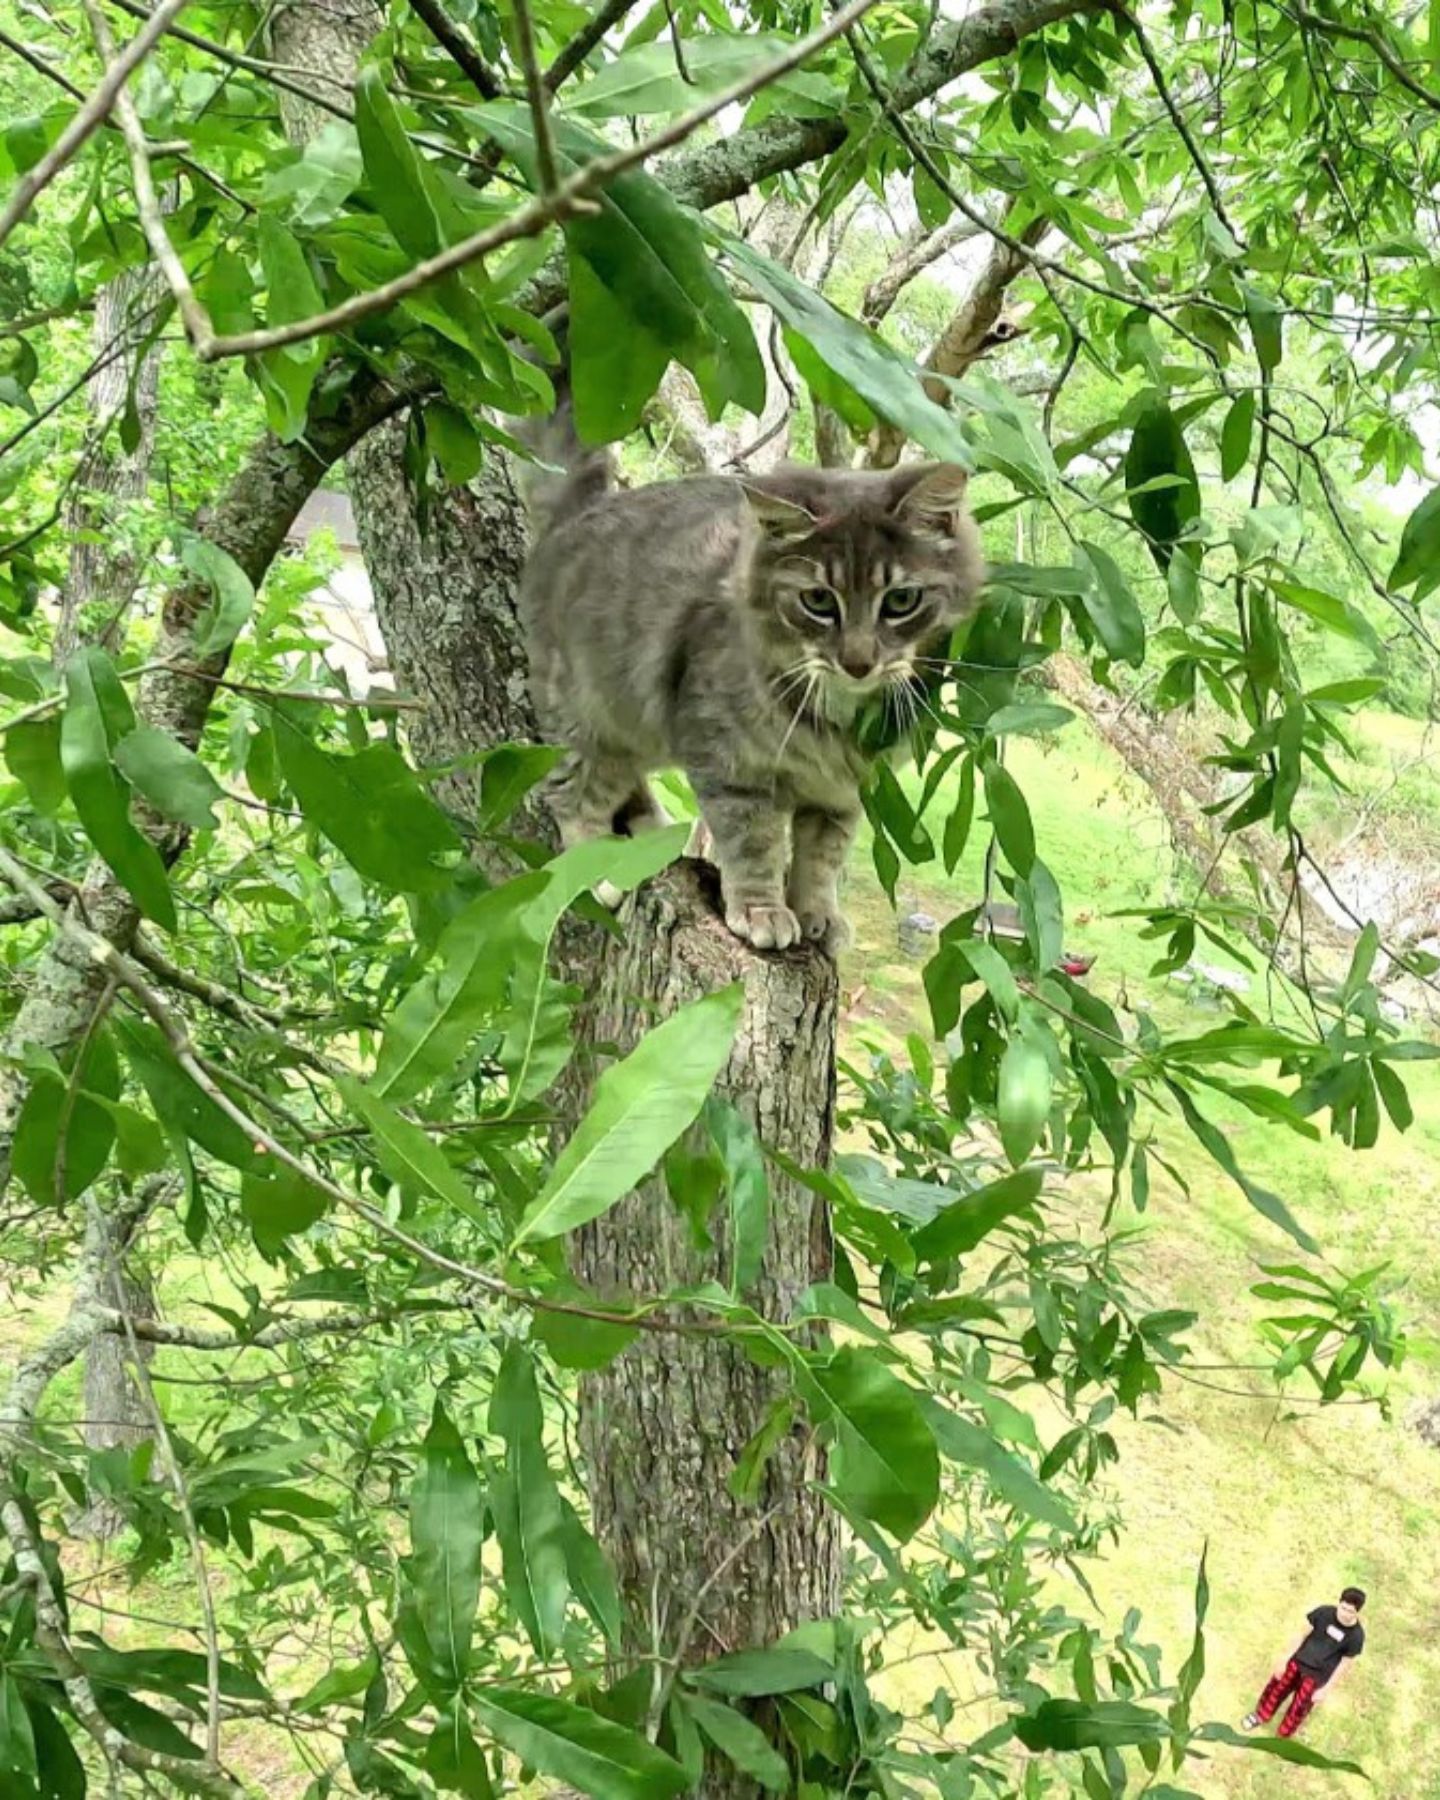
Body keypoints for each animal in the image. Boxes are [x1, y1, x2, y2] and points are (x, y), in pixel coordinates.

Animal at [522, 410, 986, 957]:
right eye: (817, 601)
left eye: (900, 601)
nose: (857, 663)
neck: (838, 714)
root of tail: (579, 510)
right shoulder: (731, 765)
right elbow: (754, 845)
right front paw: (762, 911)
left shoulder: (841, 792)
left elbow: (821, 858)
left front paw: (819, 915)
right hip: (593, 724)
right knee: (571, 799)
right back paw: (599, 871)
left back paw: (653, 834)